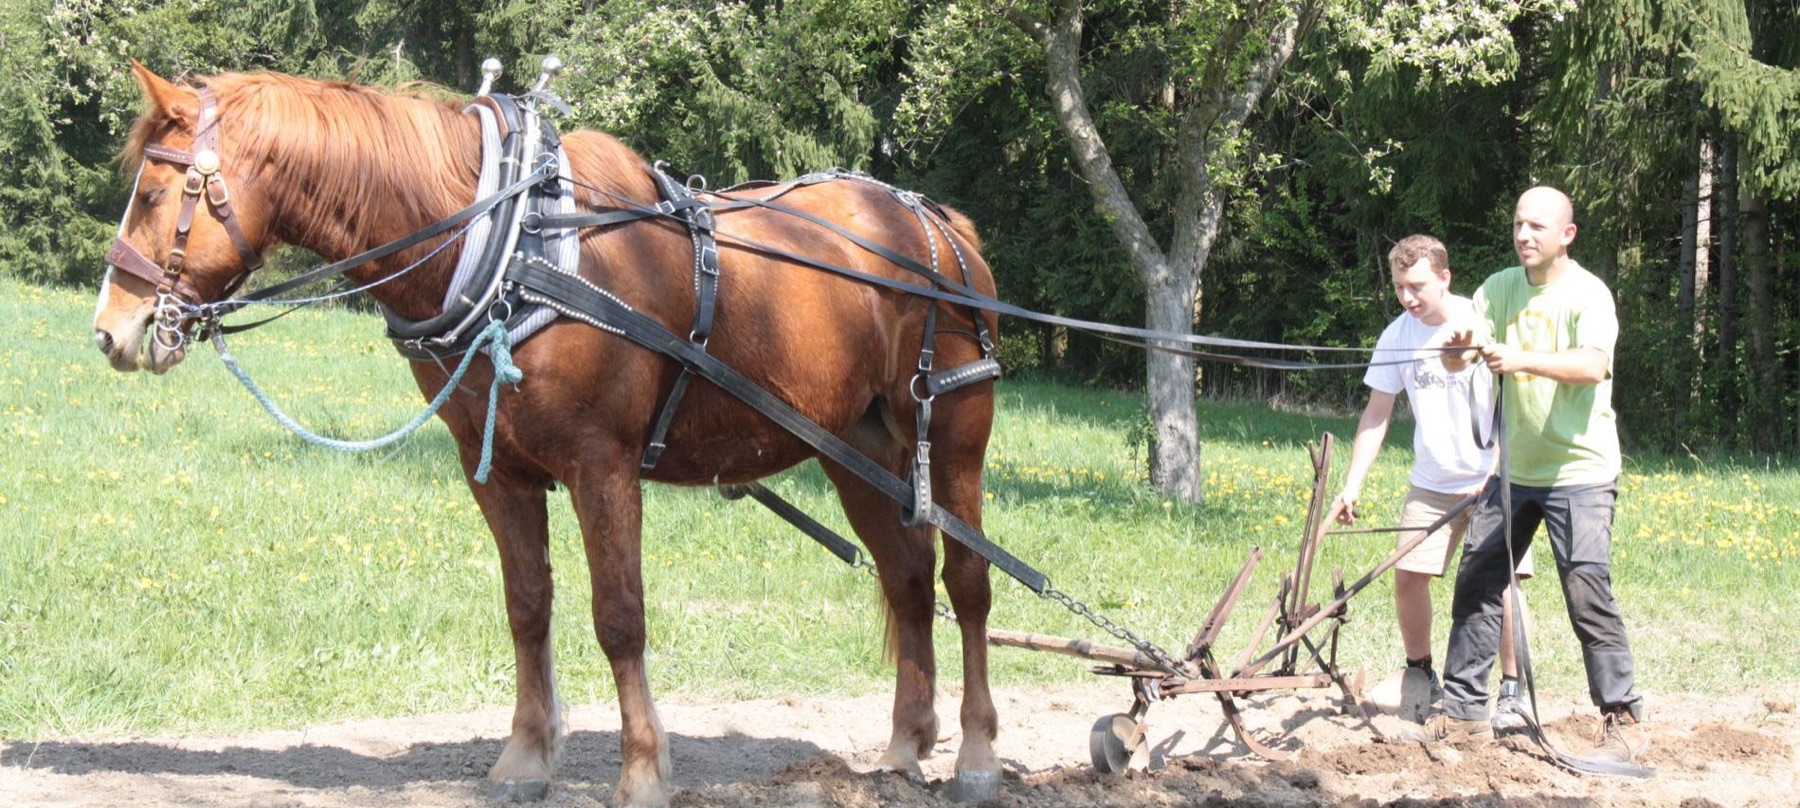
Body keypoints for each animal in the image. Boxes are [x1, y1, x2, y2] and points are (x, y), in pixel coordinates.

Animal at [92, 63, 1004, 806]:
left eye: (152, 196)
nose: (110, 331)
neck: (514, 246)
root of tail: (940, 224)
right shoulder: (497, 471)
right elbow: (527, 606)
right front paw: (526, 759)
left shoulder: (604, 466)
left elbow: (619, 616)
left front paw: (643, 772)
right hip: (856, 449)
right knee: (907, 579)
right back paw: (905, 744)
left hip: (954, 440)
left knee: (965, 584)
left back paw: (977, 757)